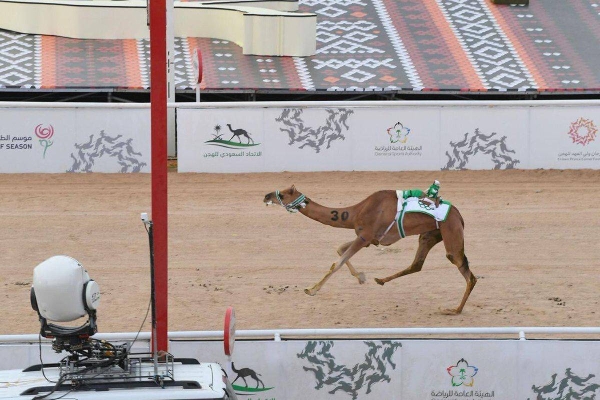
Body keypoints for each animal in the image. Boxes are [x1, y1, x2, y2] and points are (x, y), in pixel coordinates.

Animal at [264, 186, 478, 314]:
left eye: (282, 194)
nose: (266, 195)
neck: (354, 212)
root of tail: (459, 216)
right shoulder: (368, 238)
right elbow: (339, 250)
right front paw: (361, 277)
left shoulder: (365, 236)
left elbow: (338, 263)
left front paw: (312, 289)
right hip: (430, 234)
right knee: (417, 264)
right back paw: (380, 280)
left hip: (451, 232)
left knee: (465, 270)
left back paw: (455, 310)